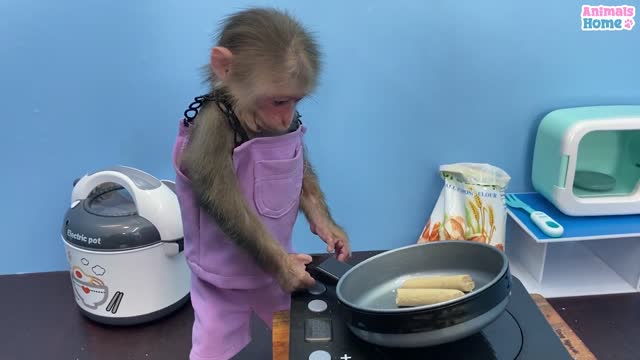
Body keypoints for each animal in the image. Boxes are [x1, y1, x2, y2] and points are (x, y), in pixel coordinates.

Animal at [170, 7, 350, 360]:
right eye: (278, 101)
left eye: (295, 101)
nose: (285, 117)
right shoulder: (213, 125)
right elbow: (219, 193)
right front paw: (289, 269)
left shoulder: (292, 129)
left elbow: (302, 174)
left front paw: (331, 232)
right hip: (217, 296)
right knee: (214, 336)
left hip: (274, 298)